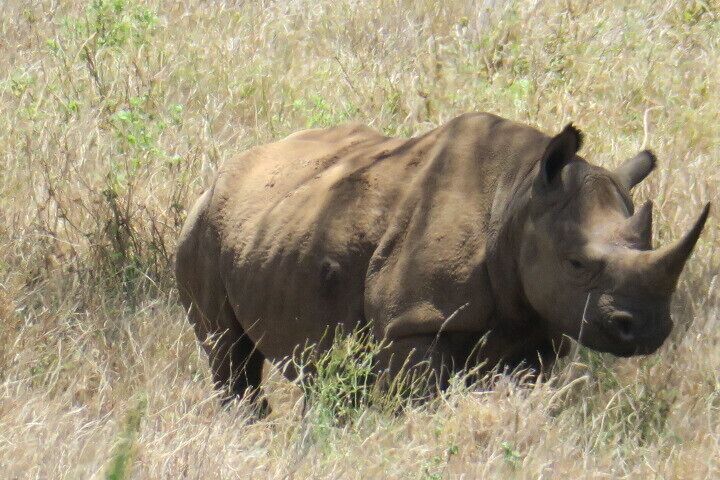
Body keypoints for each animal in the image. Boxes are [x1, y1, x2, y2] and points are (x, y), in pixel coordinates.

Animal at [176, 112, 710, 407]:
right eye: (577, 265)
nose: (649, 330)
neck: (517, 200)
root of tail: (223, 172)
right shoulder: (413, 320)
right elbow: (420, 400)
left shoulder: (536, 330)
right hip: (204, 225)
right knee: (227, 353)